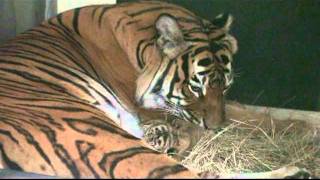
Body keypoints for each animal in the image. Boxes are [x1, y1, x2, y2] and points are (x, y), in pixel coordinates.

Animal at [0, 0, 312, 179]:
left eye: (225, 86)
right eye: (195, 88)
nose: (215, 128)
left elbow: (244, 112)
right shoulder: (152, 109)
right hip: (101, 138)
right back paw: (295, 173)